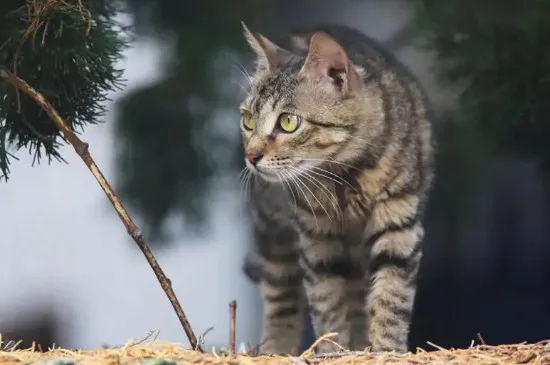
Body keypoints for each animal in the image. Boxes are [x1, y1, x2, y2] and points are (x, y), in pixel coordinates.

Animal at [239, 22, 438, 352]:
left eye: (288, 122)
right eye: (247, 120)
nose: (251, 156)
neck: (344, 175)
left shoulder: (399, 221)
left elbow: (391, 296)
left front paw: (385, 350)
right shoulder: (315, 237)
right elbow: (327, 302)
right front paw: (333, 351)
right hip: (273, 230)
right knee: (281, 295)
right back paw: (276, 348)